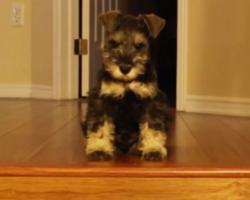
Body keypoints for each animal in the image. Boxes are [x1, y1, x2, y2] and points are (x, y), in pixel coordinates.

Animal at [81, 10, 170, 161]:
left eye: (139, 45)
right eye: (114, 43)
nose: (124, 68)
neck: (127, 81)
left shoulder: (151, 100)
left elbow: (152, 126)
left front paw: (153, 149)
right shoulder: (101, 99)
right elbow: (100, 126)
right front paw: (99, 149)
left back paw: (138, 147)